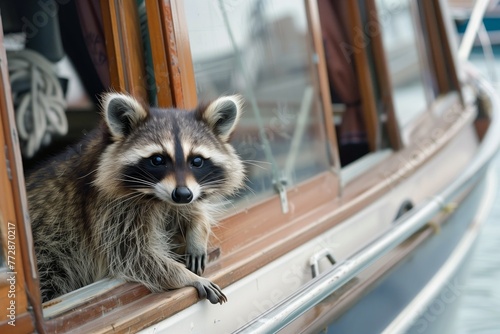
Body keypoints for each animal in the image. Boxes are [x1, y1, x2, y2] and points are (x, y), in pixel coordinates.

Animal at [26, 92, 245, 304]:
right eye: (158, 159)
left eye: (197, 161)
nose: (182, 194)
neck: (157, 197)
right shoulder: (108, 209)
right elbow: (133, 254)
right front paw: (186, 276)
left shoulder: (184, 193)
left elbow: (189, 210)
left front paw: (198, 231)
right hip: (49, 253)